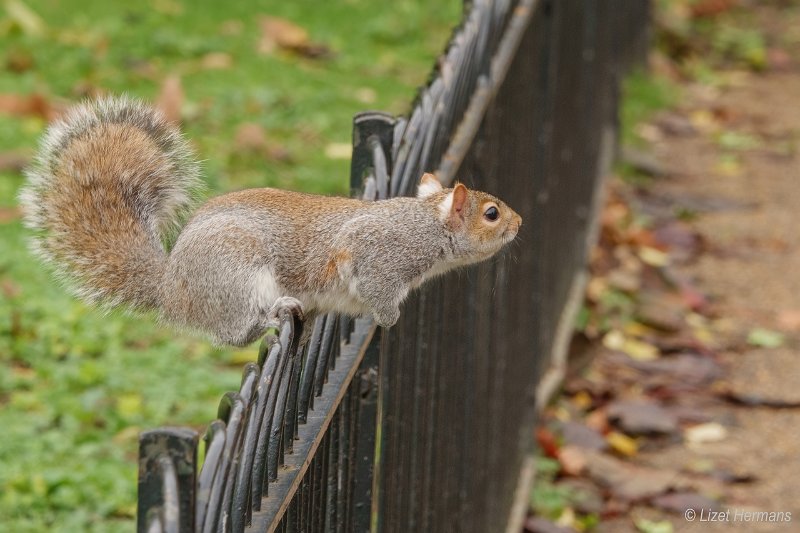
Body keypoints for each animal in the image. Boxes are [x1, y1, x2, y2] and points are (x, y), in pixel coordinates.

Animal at [20, 95, 524, 344]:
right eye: (491, 214)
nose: (520, 223)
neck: (427, 224)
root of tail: (172, 289)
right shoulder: (381, 254)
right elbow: (377, 290)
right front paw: (388, 319)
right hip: (236, 273)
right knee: (234, 334)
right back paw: (273, 316)